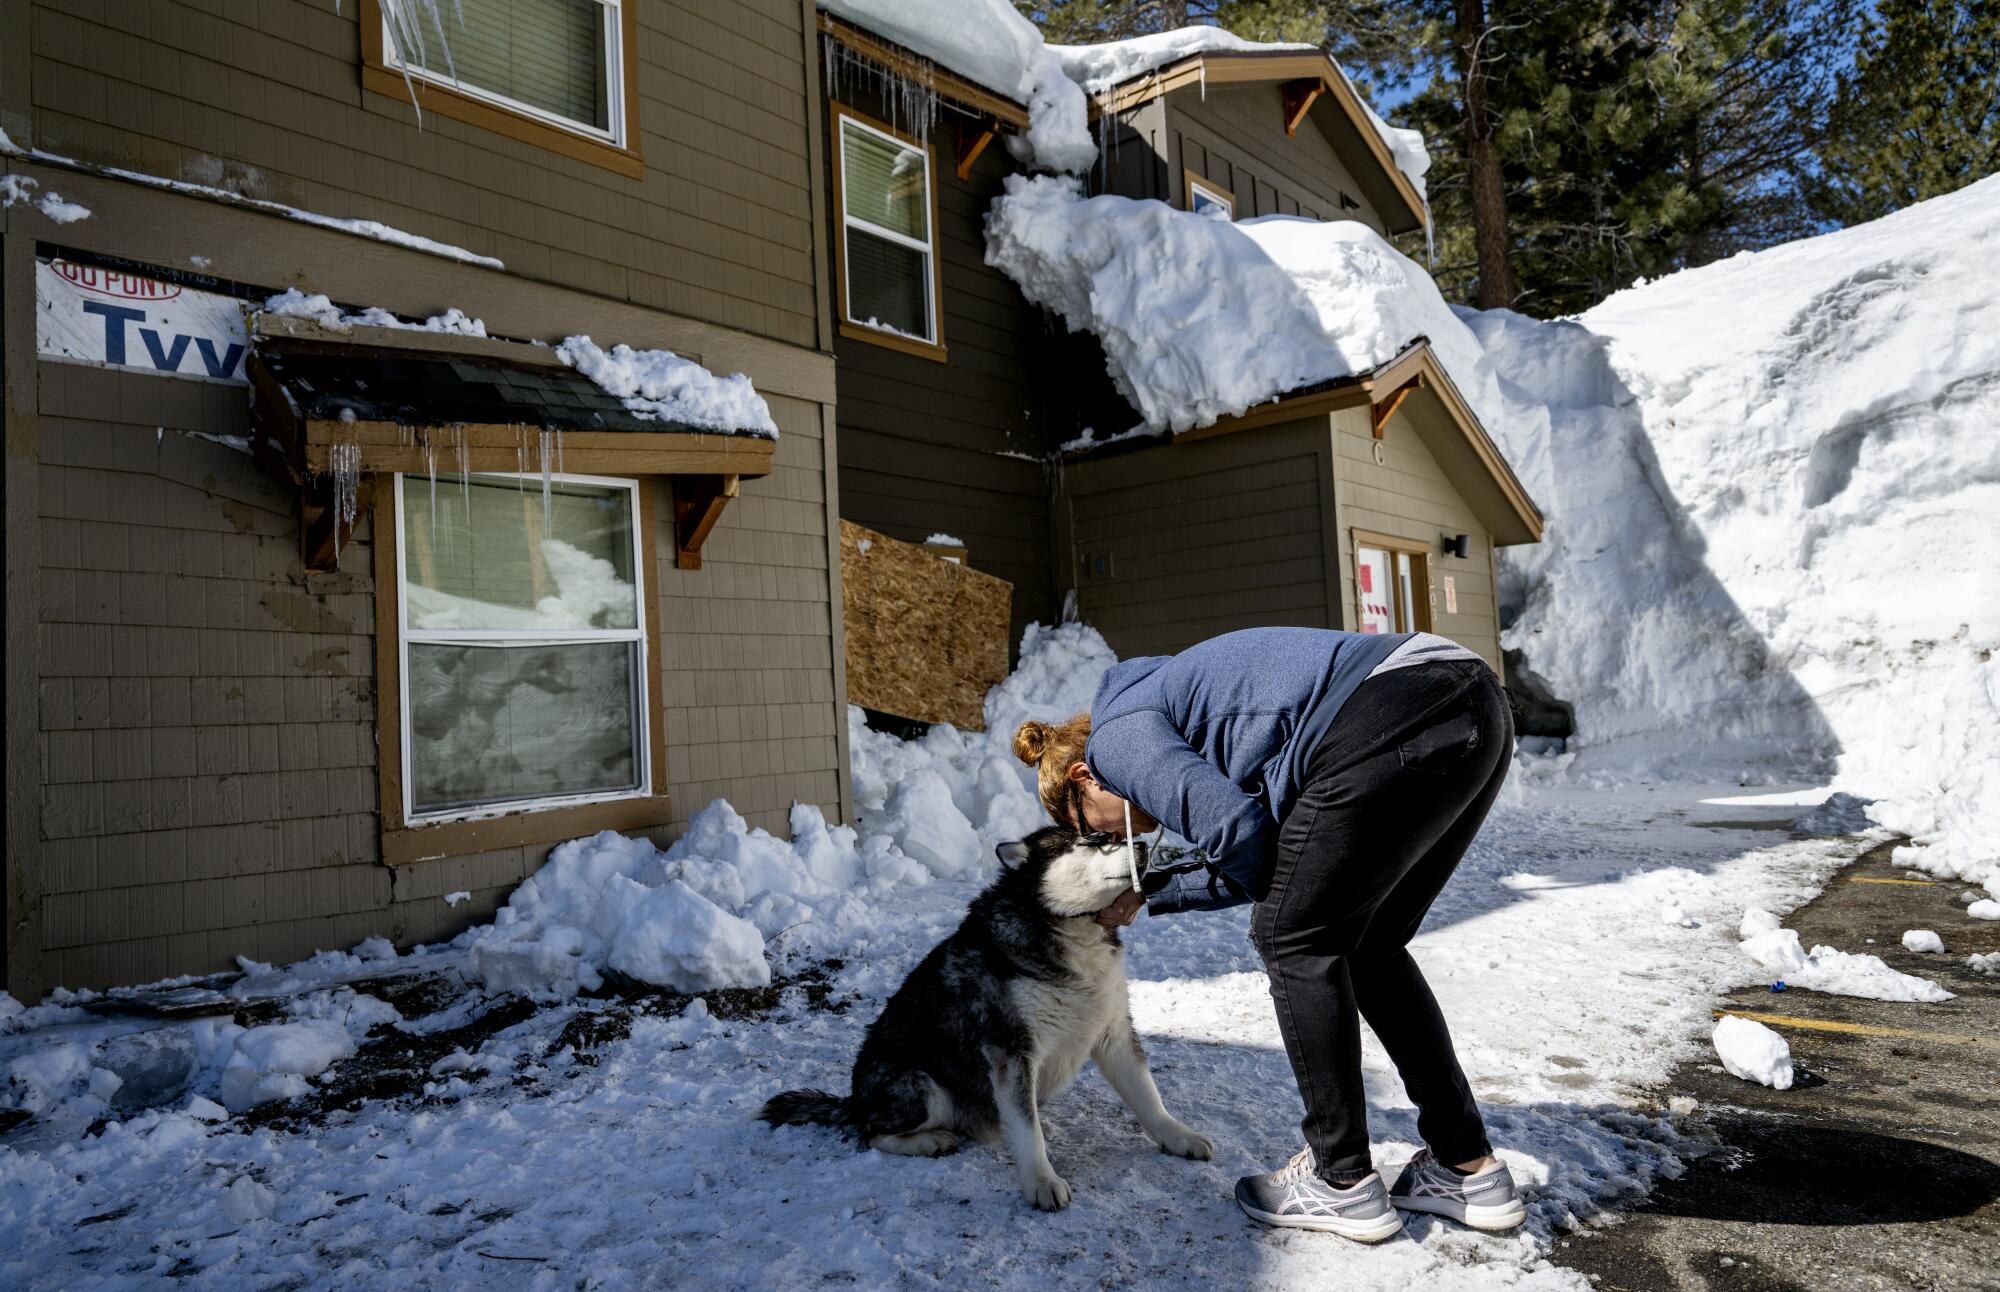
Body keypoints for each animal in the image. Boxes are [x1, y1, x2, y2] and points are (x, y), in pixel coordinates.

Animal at [760, 832, 1200, 1216]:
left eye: (1110, 836)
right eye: (1090, 842)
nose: (1142, 844)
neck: (1068, 931)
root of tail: (854, 1098)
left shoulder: (1114, 1034)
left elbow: (1148, 1097)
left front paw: (1178, 1137)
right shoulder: (1012, 1053)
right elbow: (1028, 1131)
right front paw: (1041, 1182)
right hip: (921, 1085)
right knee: (869, 1131)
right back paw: (929, 1141)